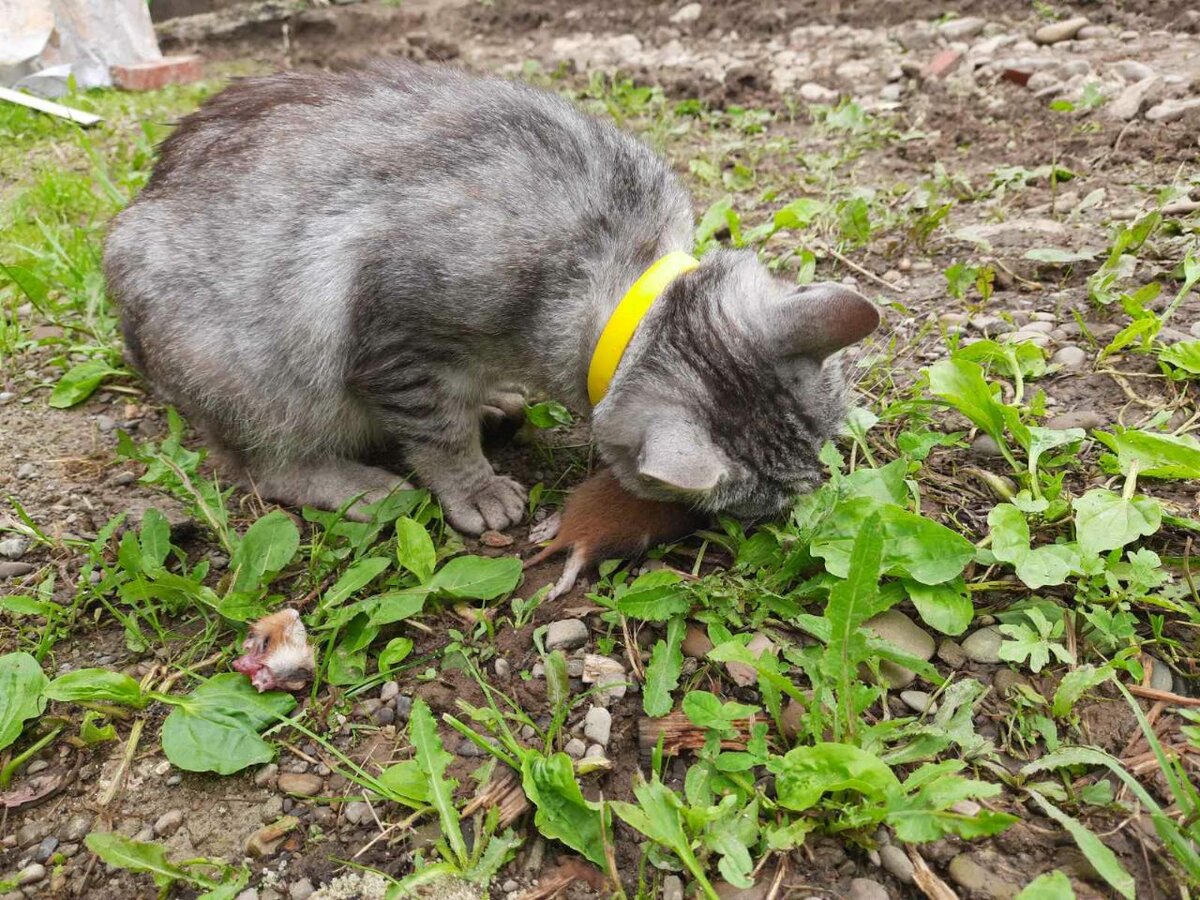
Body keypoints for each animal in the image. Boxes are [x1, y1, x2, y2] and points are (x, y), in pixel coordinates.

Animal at [105, 61, 883, 535]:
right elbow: (438, 435)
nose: (808, 503)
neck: (613, 261)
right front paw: (475, 487)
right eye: (768, 502)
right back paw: (360, 483)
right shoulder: (395, 341)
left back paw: (494, 404)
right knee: (262, 468)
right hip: (246, 378)